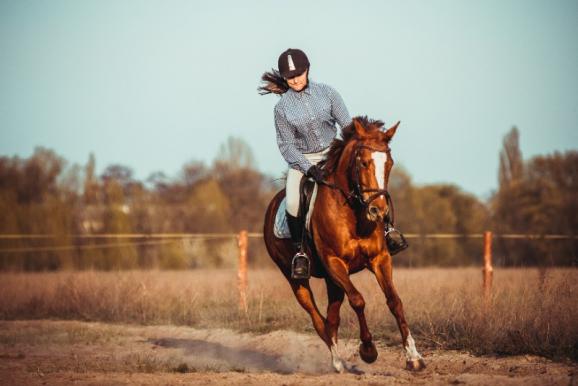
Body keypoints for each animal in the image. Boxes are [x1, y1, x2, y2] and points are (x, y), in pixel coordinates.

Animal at [264, 116, 426, 372]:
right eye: (364, 163)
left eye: (389, 163)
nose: (378, 211)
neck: (352, 213)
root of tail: (271, 206)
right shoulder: (335, 262)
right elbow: (358, 301)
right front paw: (368, 350)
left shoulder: (380, 259)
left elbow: (395, 301)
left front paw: (414, 357)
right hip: (297, 281)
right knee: (318, 319)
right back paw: (338, 361)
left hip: (332, 281)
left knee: (332, 317)